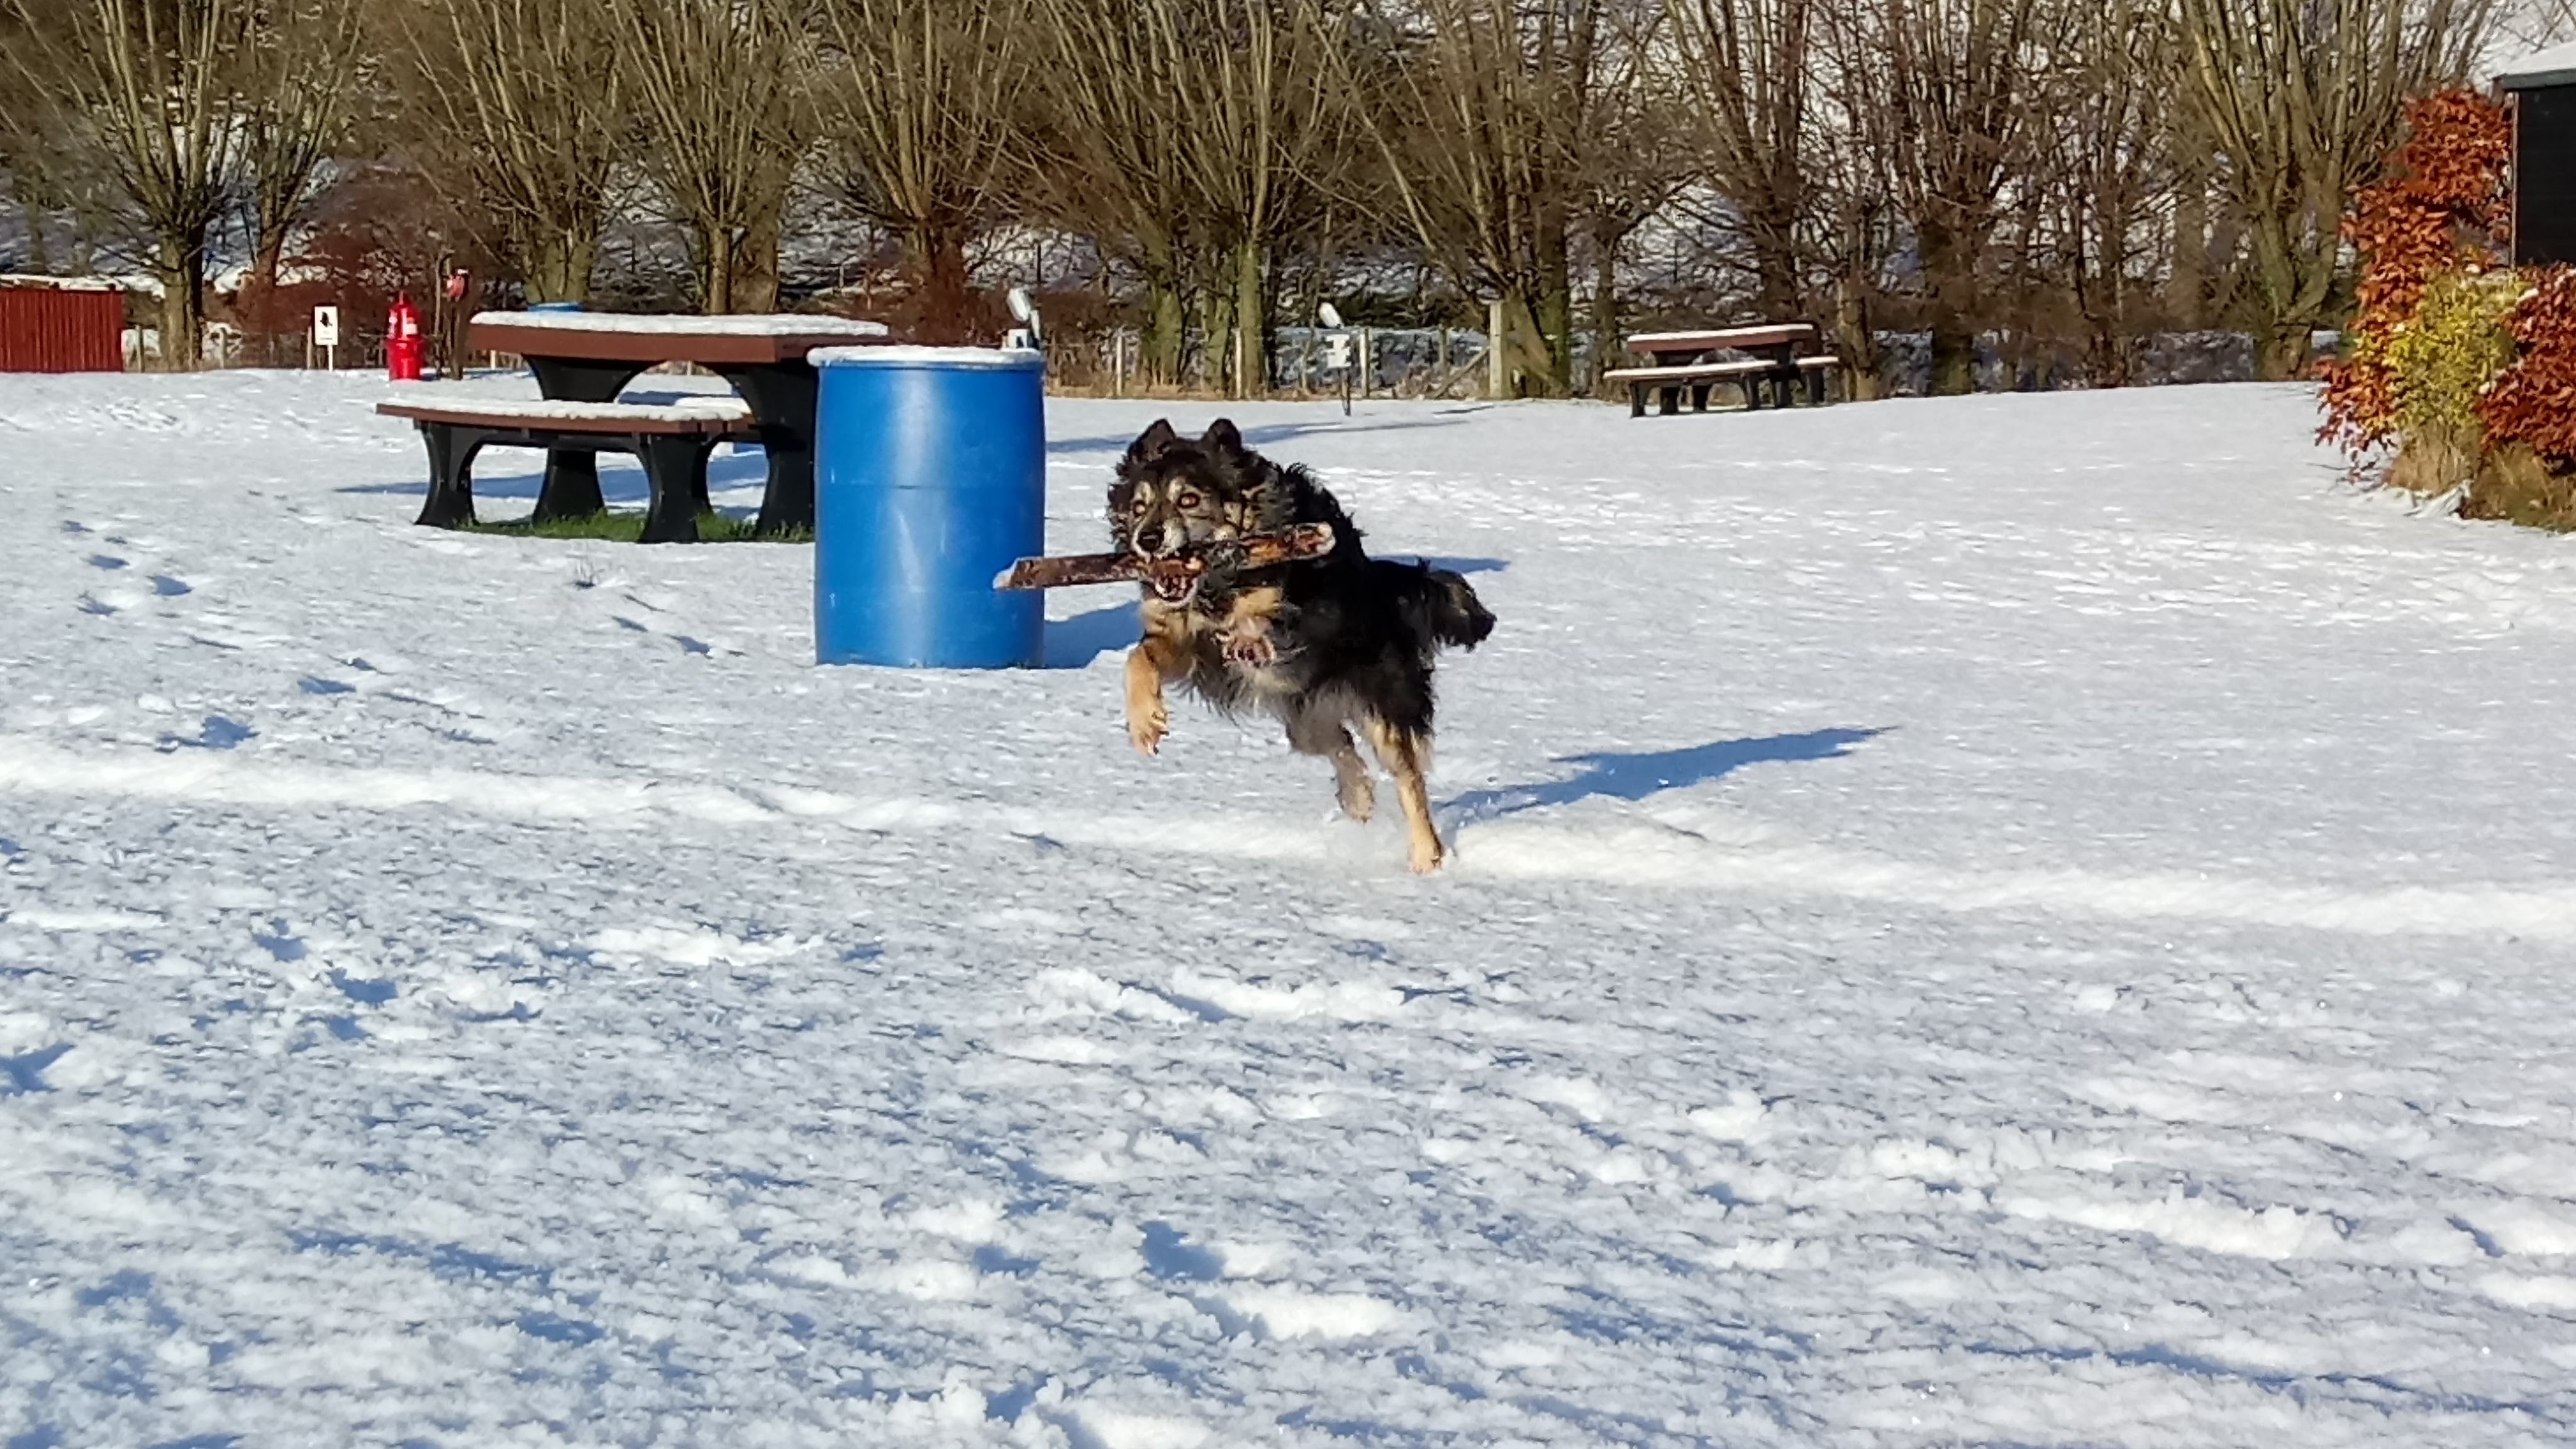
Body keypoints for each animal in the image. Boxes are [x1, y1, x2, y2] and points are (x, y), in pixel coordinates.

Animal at [1108, 415, 1494, 866]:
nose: (1148, 540)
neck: (1217, 588)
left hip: (1383, 701)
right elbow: (1140, 656)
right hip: (1305, 720)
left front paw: (1247, 636)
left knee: (1408, 778)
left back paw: (1428, 859)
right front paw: (1143, 723)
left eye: (1188, 499)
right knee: (1342, 744)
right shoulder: (1187, 641)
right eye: (1138, 508)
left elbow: (1264, 622)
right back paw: (1358, 797)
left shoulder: (1303, 623)